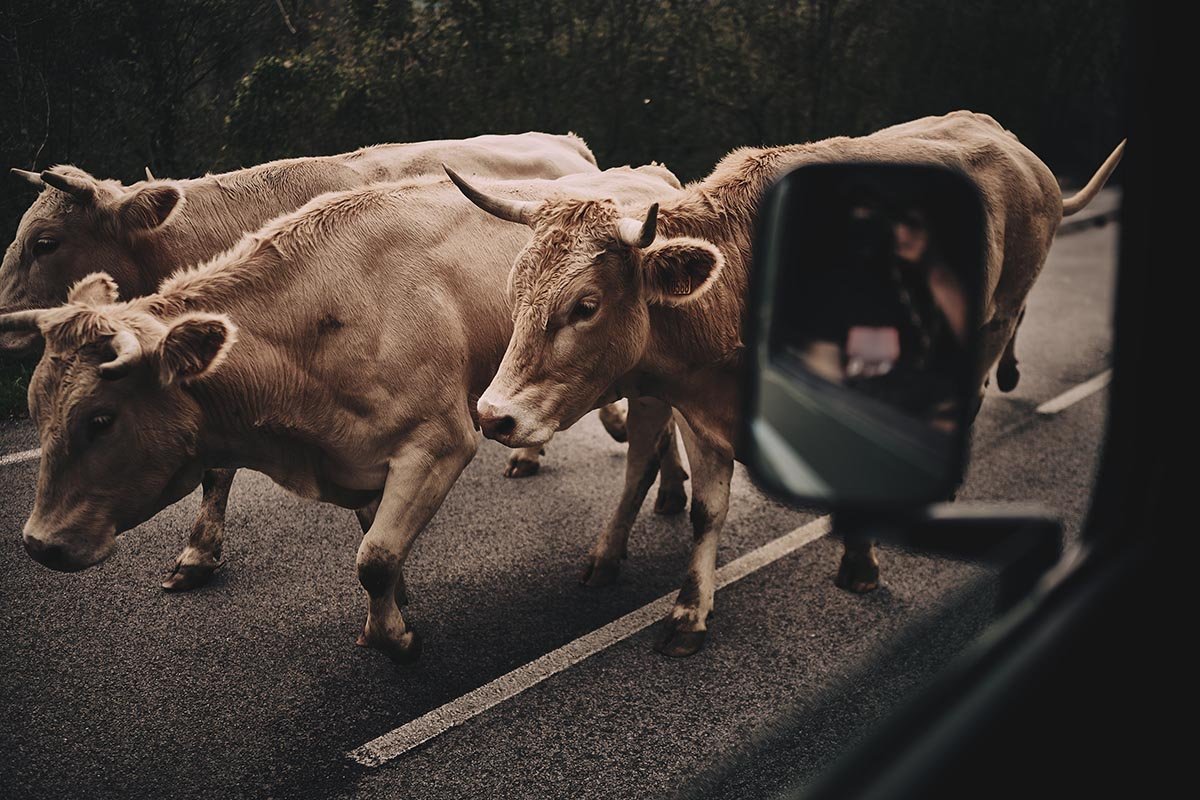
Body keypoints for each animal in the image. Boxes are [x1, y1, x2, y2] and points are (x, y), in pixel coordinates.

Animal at [0, 164, 686, 663]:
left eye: (100, 419)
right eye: (36, 408)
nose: (39, 543)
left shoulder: (440, 441)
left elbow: (372, 557)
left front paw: (395, 638)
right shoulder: (359, 455)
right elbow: (372, 540)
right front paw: (399, 603)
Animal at [448, 110, 1125, 657]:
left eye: (585, 305)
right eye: (515, 289)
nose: (494, 414)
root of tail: (1007, 141)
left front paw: (859, 561)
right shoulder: (700, 410)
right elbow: (707, 512)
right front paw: (690, 611)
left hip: (999, 314)